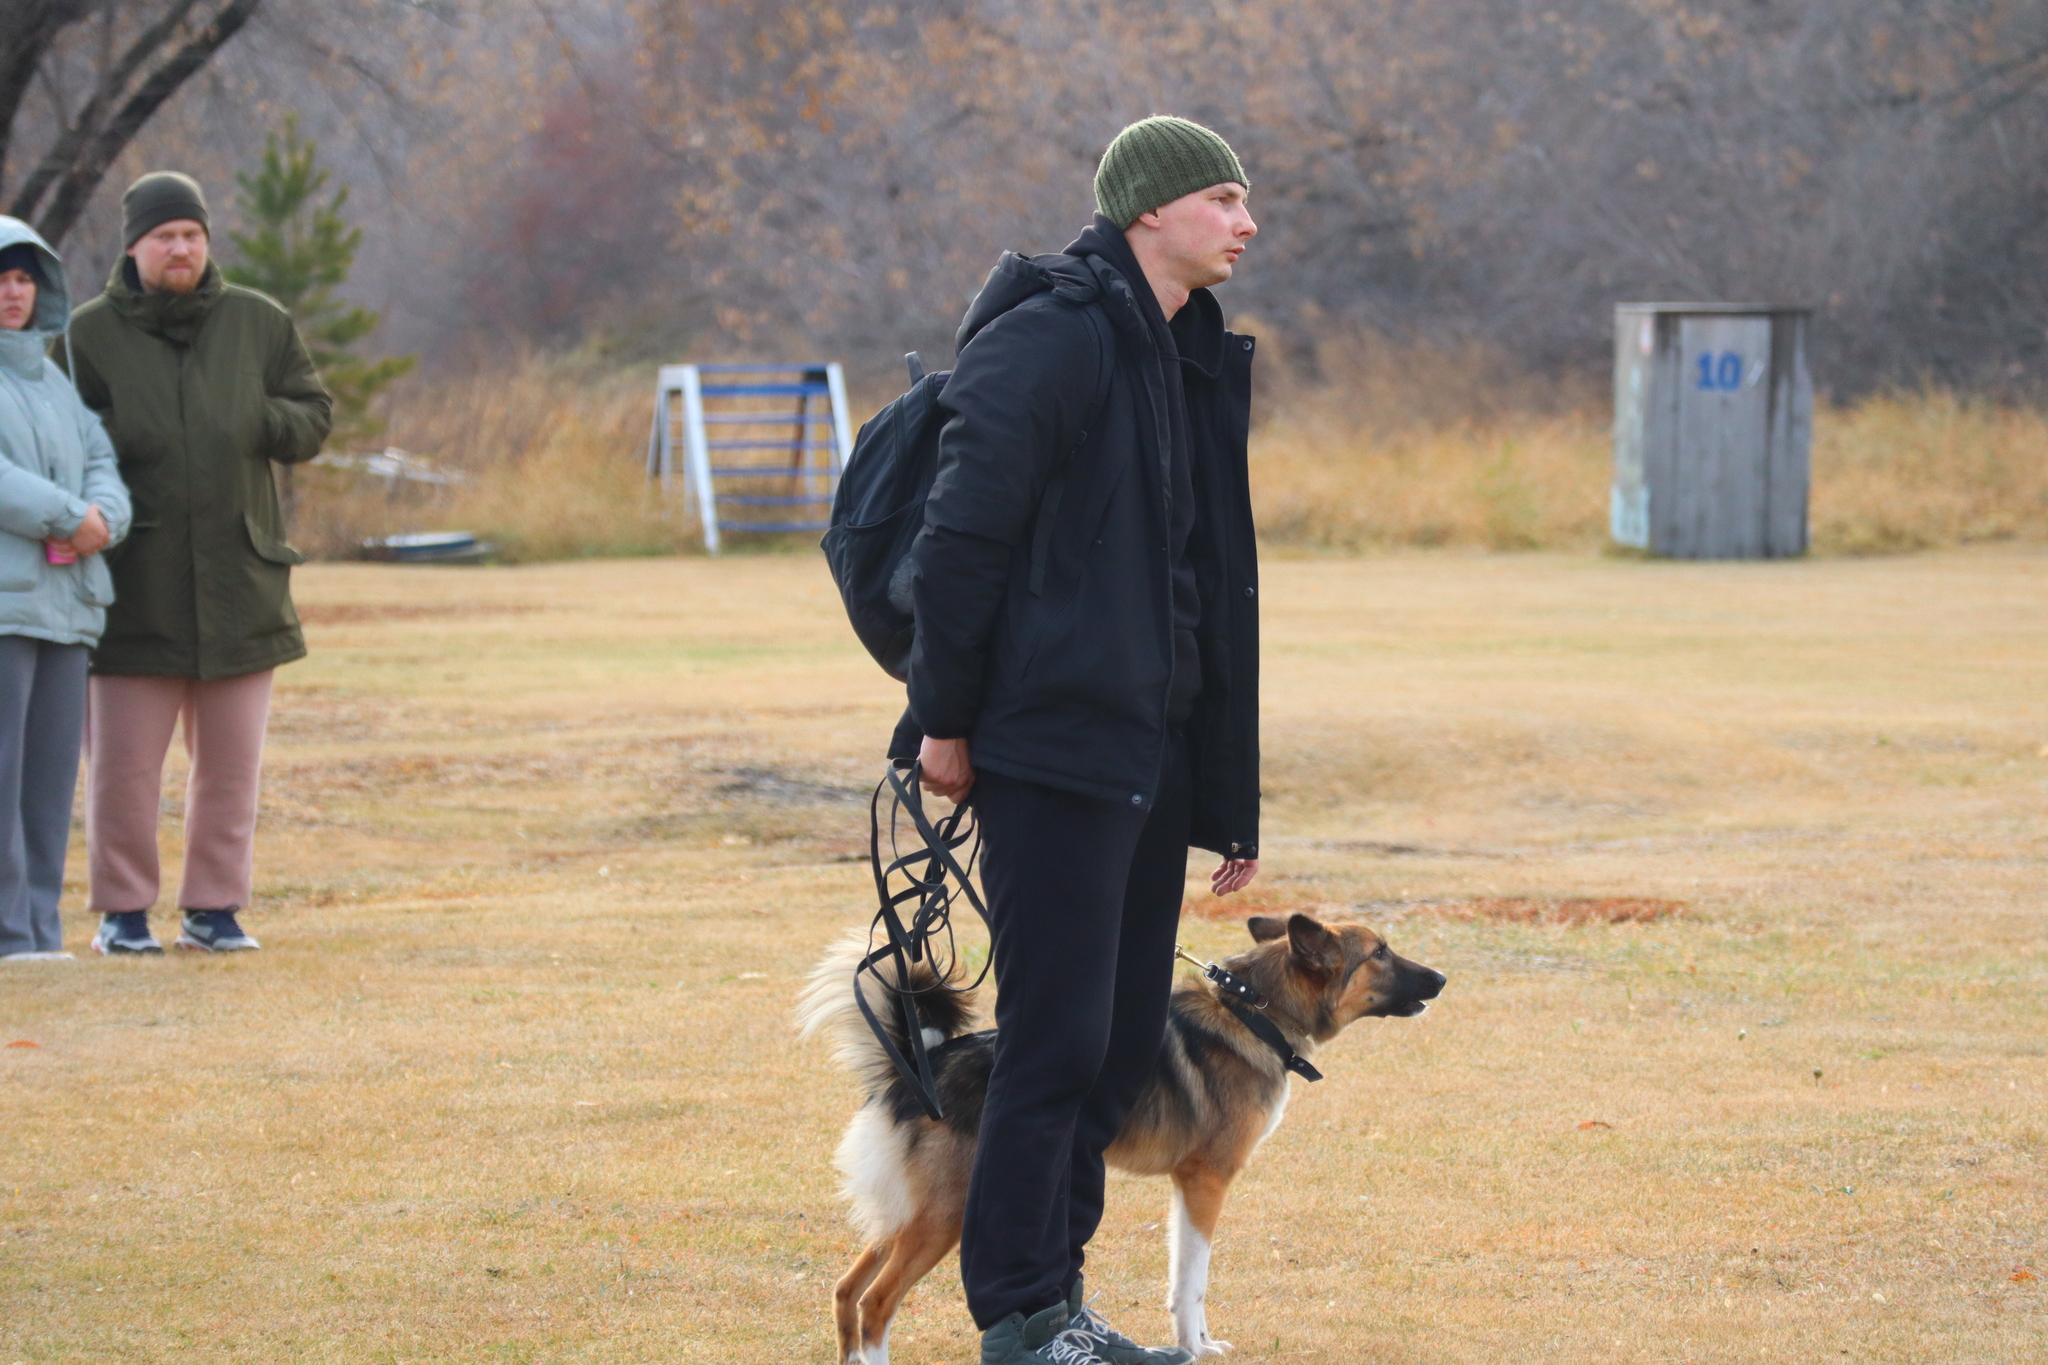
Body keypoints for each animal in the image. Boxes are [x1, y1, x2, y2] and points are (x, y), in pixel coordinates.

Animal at [790, 912, 1449, 1358]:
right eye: (1381, 952)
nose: (1442, 979)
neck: (1254, 1015)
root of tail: (921, 1064)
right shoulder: (1207, 1181)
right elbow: (1194, 1279)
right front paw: (1195, 1349)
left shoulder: (1187, 1187)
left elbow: (1183, 1272)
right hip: (945, 1215)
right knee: (876, 1303)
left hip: (908, 1211)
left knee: (846, 1292)